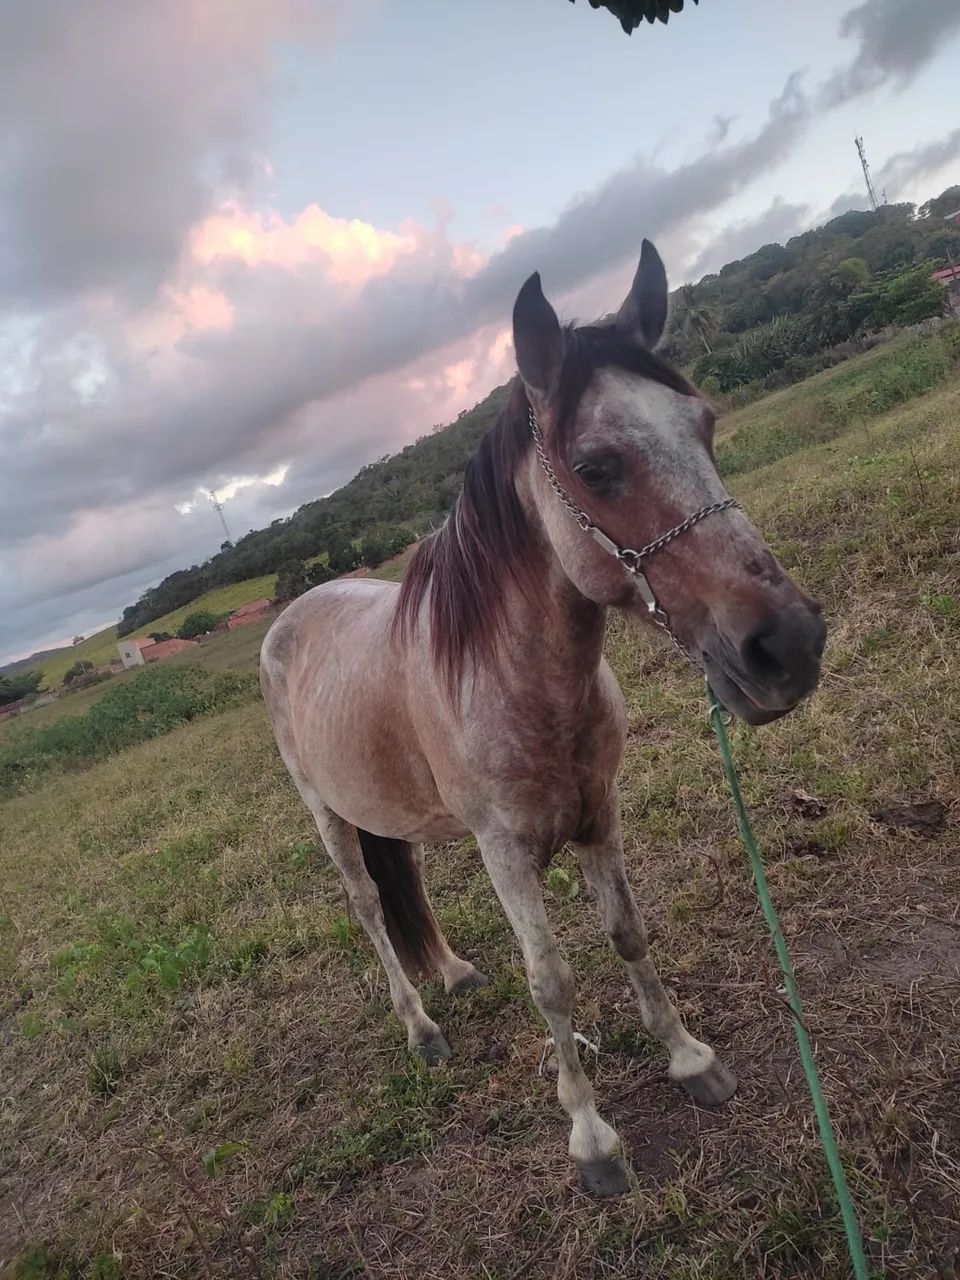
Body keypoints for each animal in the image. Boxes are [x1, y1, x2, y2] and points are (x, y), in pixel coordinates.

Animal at [260, 240, 826, 1196]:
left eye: (705, 426)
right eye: (596, 467)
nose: (788, 646)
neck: (519, 680)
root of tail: (288, 620)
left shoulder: (601, 815)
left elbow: (627, 932)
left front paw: (689, 1059)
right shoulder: (506, 853)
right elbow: (552, 981)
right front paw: (592, 1138)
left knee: (407, 883)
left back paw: (454, 974)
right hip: (326, 815)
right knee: (369, 907)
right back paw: (422, 1029)